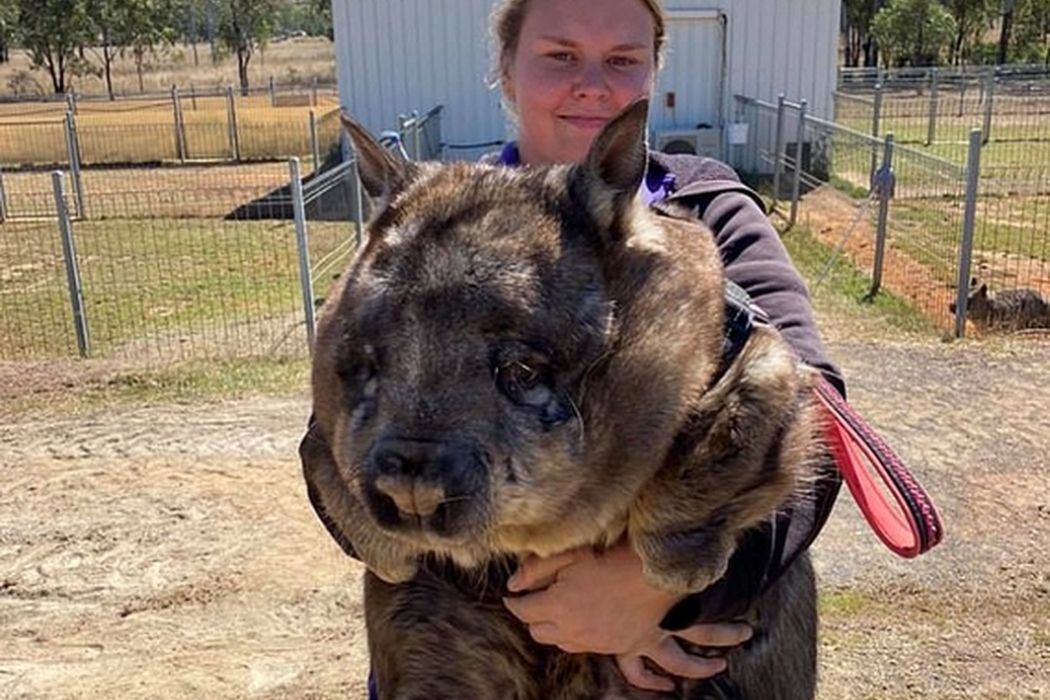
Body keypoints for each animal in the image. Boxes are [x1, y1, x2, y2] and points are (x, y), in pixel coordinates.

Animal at [300, 101, 823, 696]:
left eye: (521, 371)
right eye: (367, 366)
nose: (411, 490)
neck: (529, 535)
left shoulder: (752, 349)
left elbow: (737, 432)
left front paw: (680, 567)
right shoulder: (327, 429)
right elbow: (321, 457)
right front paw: (387, 552)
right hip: (434, 624)